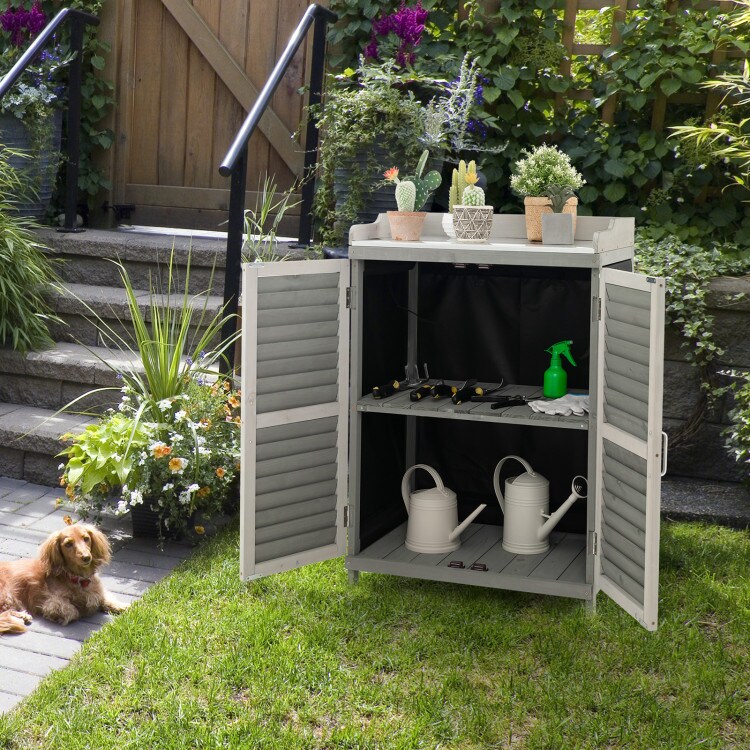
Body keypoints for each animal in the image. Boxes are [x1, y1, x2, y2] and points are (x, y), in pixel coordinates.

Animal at [0, 524, 128, 636]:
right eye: (68, 544)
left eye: (86, 538)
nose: (86, 557)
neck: (78, 579)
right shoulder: (53, 602)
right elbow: (73, 611)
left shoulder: (97, 590)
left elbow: (106, 598)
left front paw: (124, 606)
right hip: (7, 595)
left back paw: (22, 616)